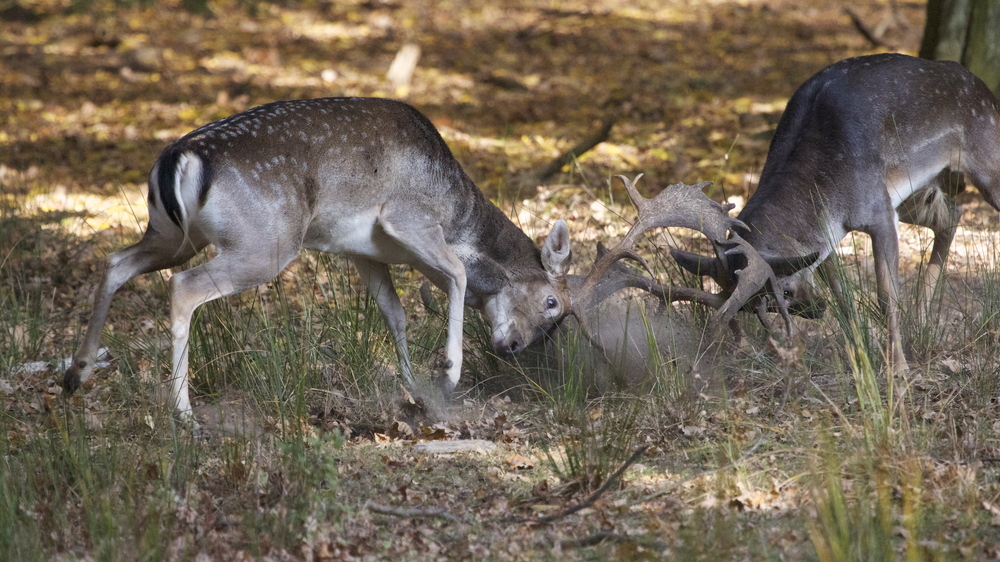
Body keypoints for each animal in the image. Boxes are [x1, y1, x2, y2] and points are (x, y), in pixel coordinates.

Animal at [64, 97, 572, 420]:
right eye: (552, 302)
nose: (515, 345)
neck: (458, 216)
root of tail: (177, 159)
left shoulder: (364, 252)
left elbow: (395, 313)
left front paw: (413, 389)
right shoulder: (408, 217)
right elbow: (459, 272)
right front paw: (448, 374)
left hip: (172, 235)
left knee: (117, 262)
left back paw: (77, 372)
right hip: (266, 241)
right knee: (183, 286)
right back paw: (183, 412)